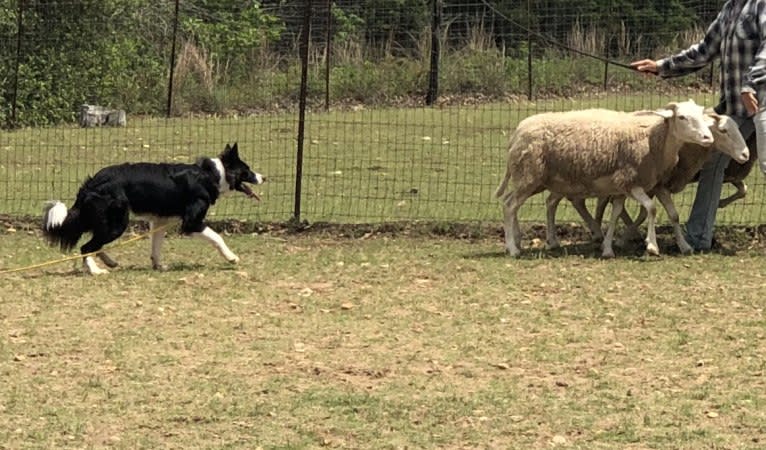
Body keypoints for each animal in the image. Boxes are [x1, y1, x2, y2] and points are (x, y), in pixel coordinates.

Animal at [496, 100, 716, 258]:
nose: (708, 138)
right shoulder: (631, 182)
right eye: (682, 117)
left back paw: (525, 240)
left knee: (521, 202)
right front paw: (652, 246)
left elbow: (669, 215)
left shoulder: (637, 186)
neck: (652, 139)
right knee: (509, 205)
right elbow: (651, 209)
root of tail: (517, 132)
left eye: (701, 115)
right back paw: (513, 248)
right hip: (528, 175)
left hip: (537, 179)